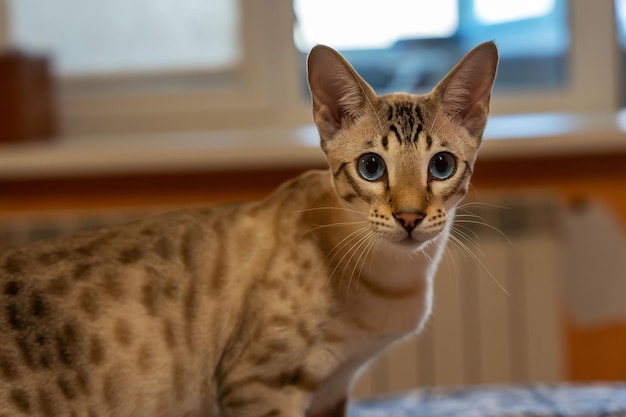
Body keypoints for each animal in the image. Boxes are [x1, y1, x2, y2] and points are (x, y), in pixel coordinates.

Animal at [1, 40, 498, 414]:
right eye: (372, 167)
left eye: (441, 165)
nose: (410, 217)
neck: (395, 280)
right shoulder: (258, 385)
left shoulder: (333, 389)